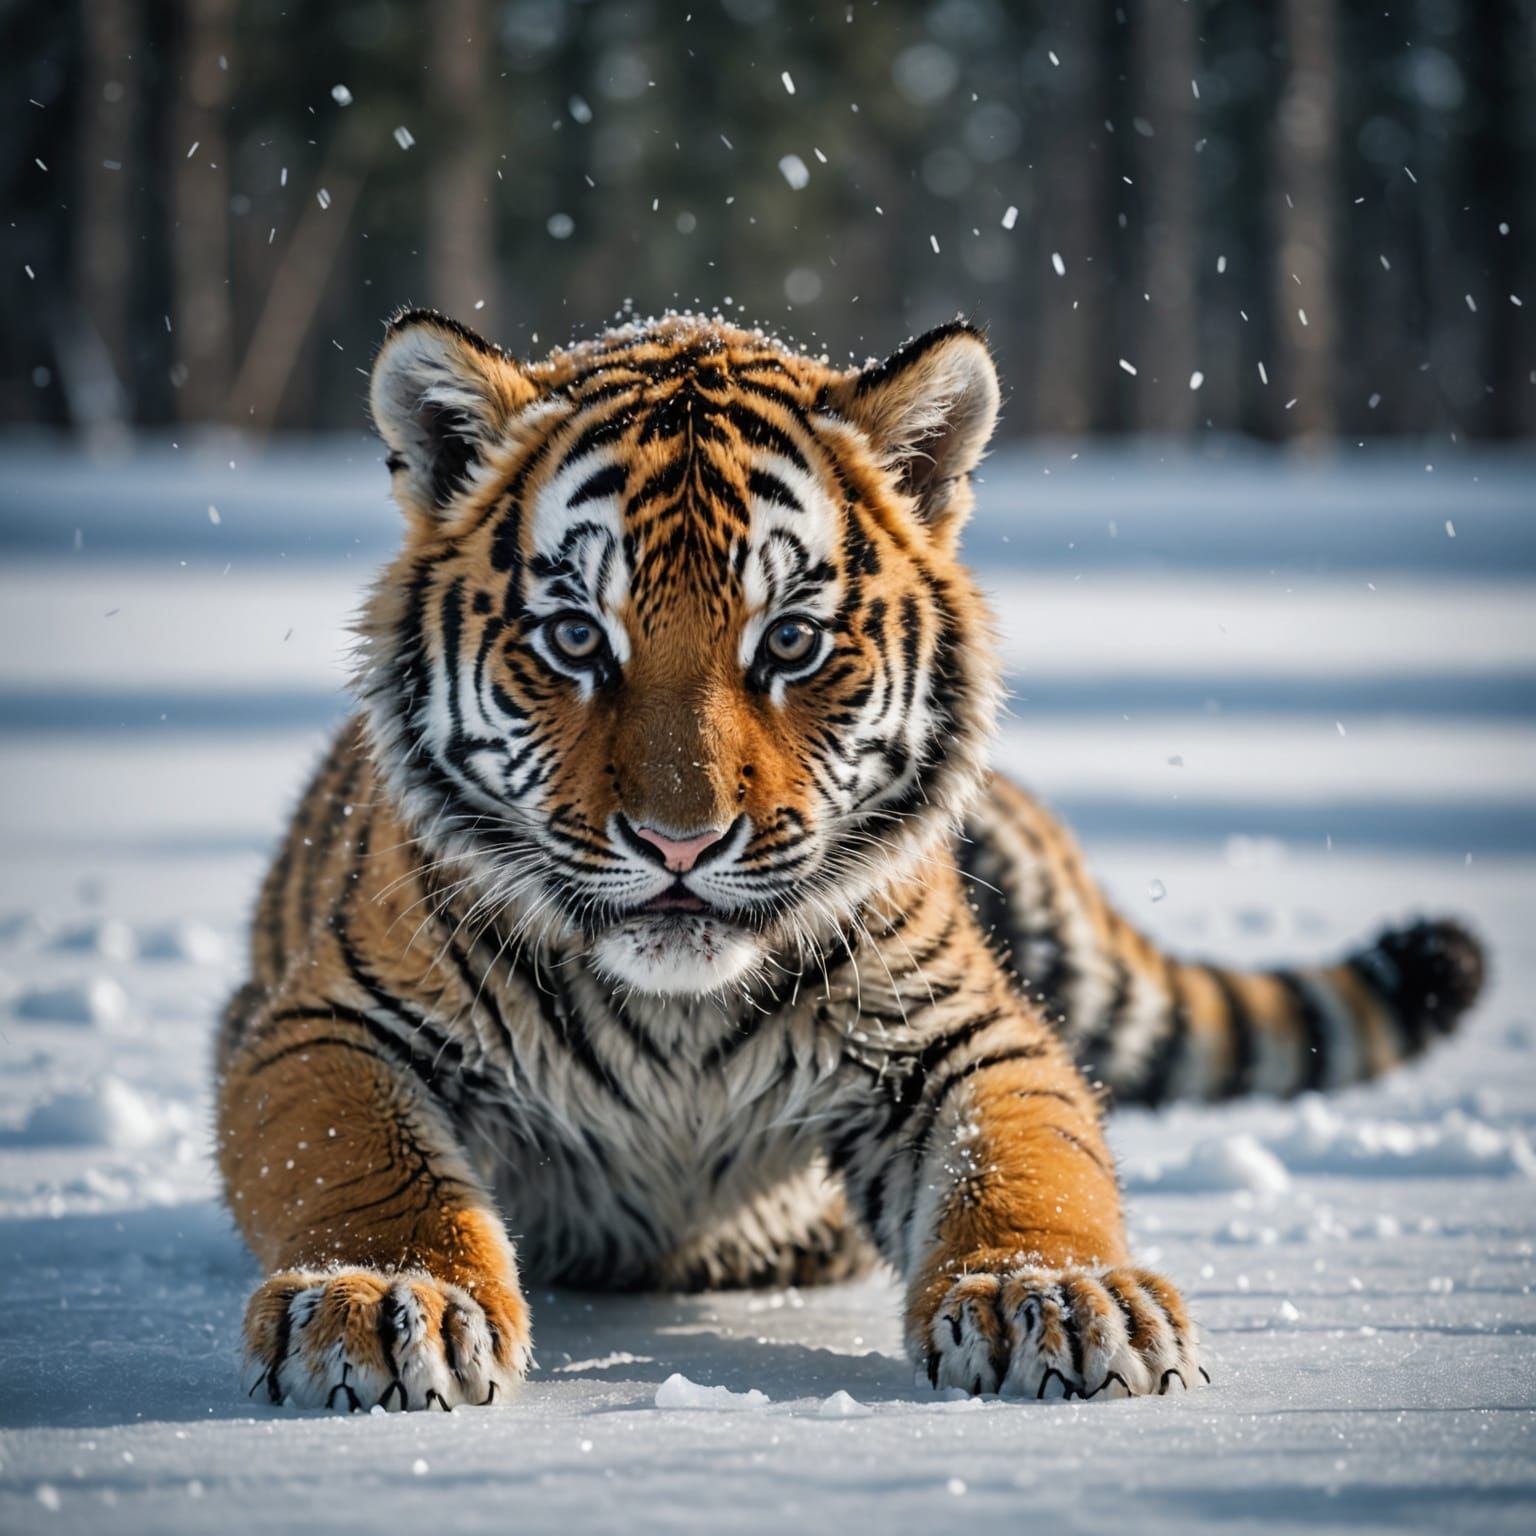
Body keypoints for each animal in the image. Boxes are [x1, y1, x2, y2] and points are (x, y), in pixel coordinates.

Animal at [216, 308, 1486, 1412]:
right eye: (577, 637)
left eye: (789, 642)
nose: (680, 842)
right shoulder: (328, 1024)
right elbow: (364, 1166)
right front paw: (386, 1298)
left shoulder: (961, 1029)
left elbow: (1025, 1157)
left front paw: (1056, 1295)